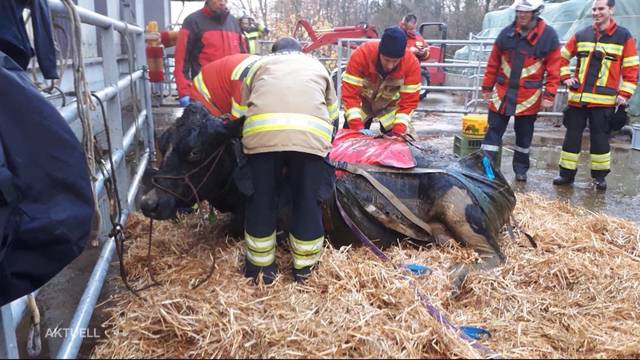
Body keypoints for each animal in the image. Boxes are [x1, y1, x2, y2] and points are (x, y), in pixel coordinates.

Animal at [140, 105, 516, 286]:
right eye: (161, 142)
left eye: (194, 152)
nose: (149, 202)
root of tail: (485, 168)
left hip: (459, 207)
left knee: (495, 257)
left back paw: (457, 275)